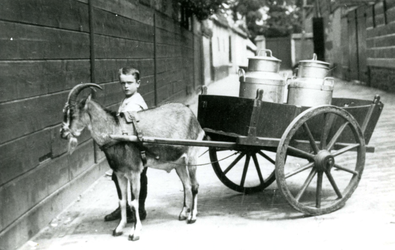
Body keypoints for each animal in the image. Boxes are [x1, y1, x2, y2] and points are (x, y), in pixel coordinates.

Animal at [60, 83, 206, 240]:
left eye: (73, 114)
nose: (62, 133)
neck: (116, 132)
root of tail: (192, 115)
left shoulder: (135, 172)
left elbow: (134, 202)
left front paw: (135, 232)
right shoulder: (120, 174)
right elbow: (123, 201)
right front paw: (119, 228)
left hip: (192, 156)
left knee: (194, 185)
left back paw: (192, 217)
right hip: (179, 162)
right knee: (186, 185)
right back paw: (184, 213)